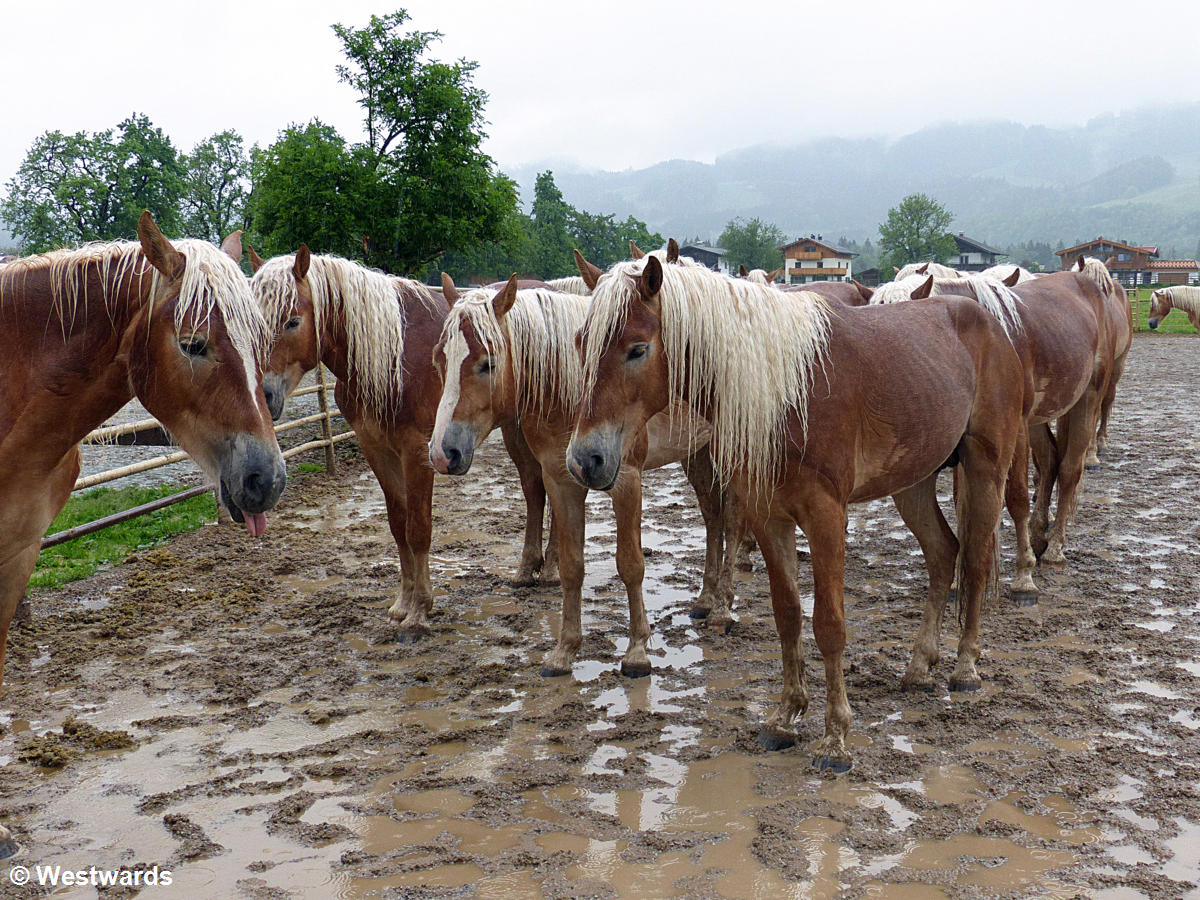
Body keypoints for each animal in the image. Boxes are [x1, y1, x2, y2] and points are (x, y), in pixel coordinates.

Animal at [249, 246, 453, 638]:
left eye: (292, 321)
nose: (262, 397)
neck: (396, 355)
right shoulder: (376, 448)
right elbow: (398, 524)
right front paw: (403, 605)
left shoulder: (417, 451)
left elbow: (418, 528)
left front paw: (420, 611)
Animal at [429, 270, 742, 678]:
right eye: (440, 359)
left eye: (488, 363)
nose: (442, 453)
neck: (575, 391)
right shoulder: (561, 482)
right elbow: (572, 566)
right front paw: (564, 651)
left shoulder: (626, 482)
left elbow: (630, 565)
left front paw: (637, 652)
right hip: (697, 454)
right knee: (712, 517)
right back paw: (705, 599)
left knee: (732, 521)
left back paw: (722, 607)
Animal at [569, 253, 1026, 769]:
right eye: (581, 343)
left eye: (637, 349)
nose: (586, 460)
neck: (785, 391)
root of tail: (988, 322)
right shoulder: (770, 518)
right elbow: (787, 614)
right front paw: (786, 717)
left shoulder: (826, 516)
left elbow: (828, 624)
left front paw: (836, 737)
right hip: (915, 481)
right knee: (943, 553)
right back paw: (918, 666)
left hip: (986, 469)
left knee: (975, 561)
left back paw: (965, 668)